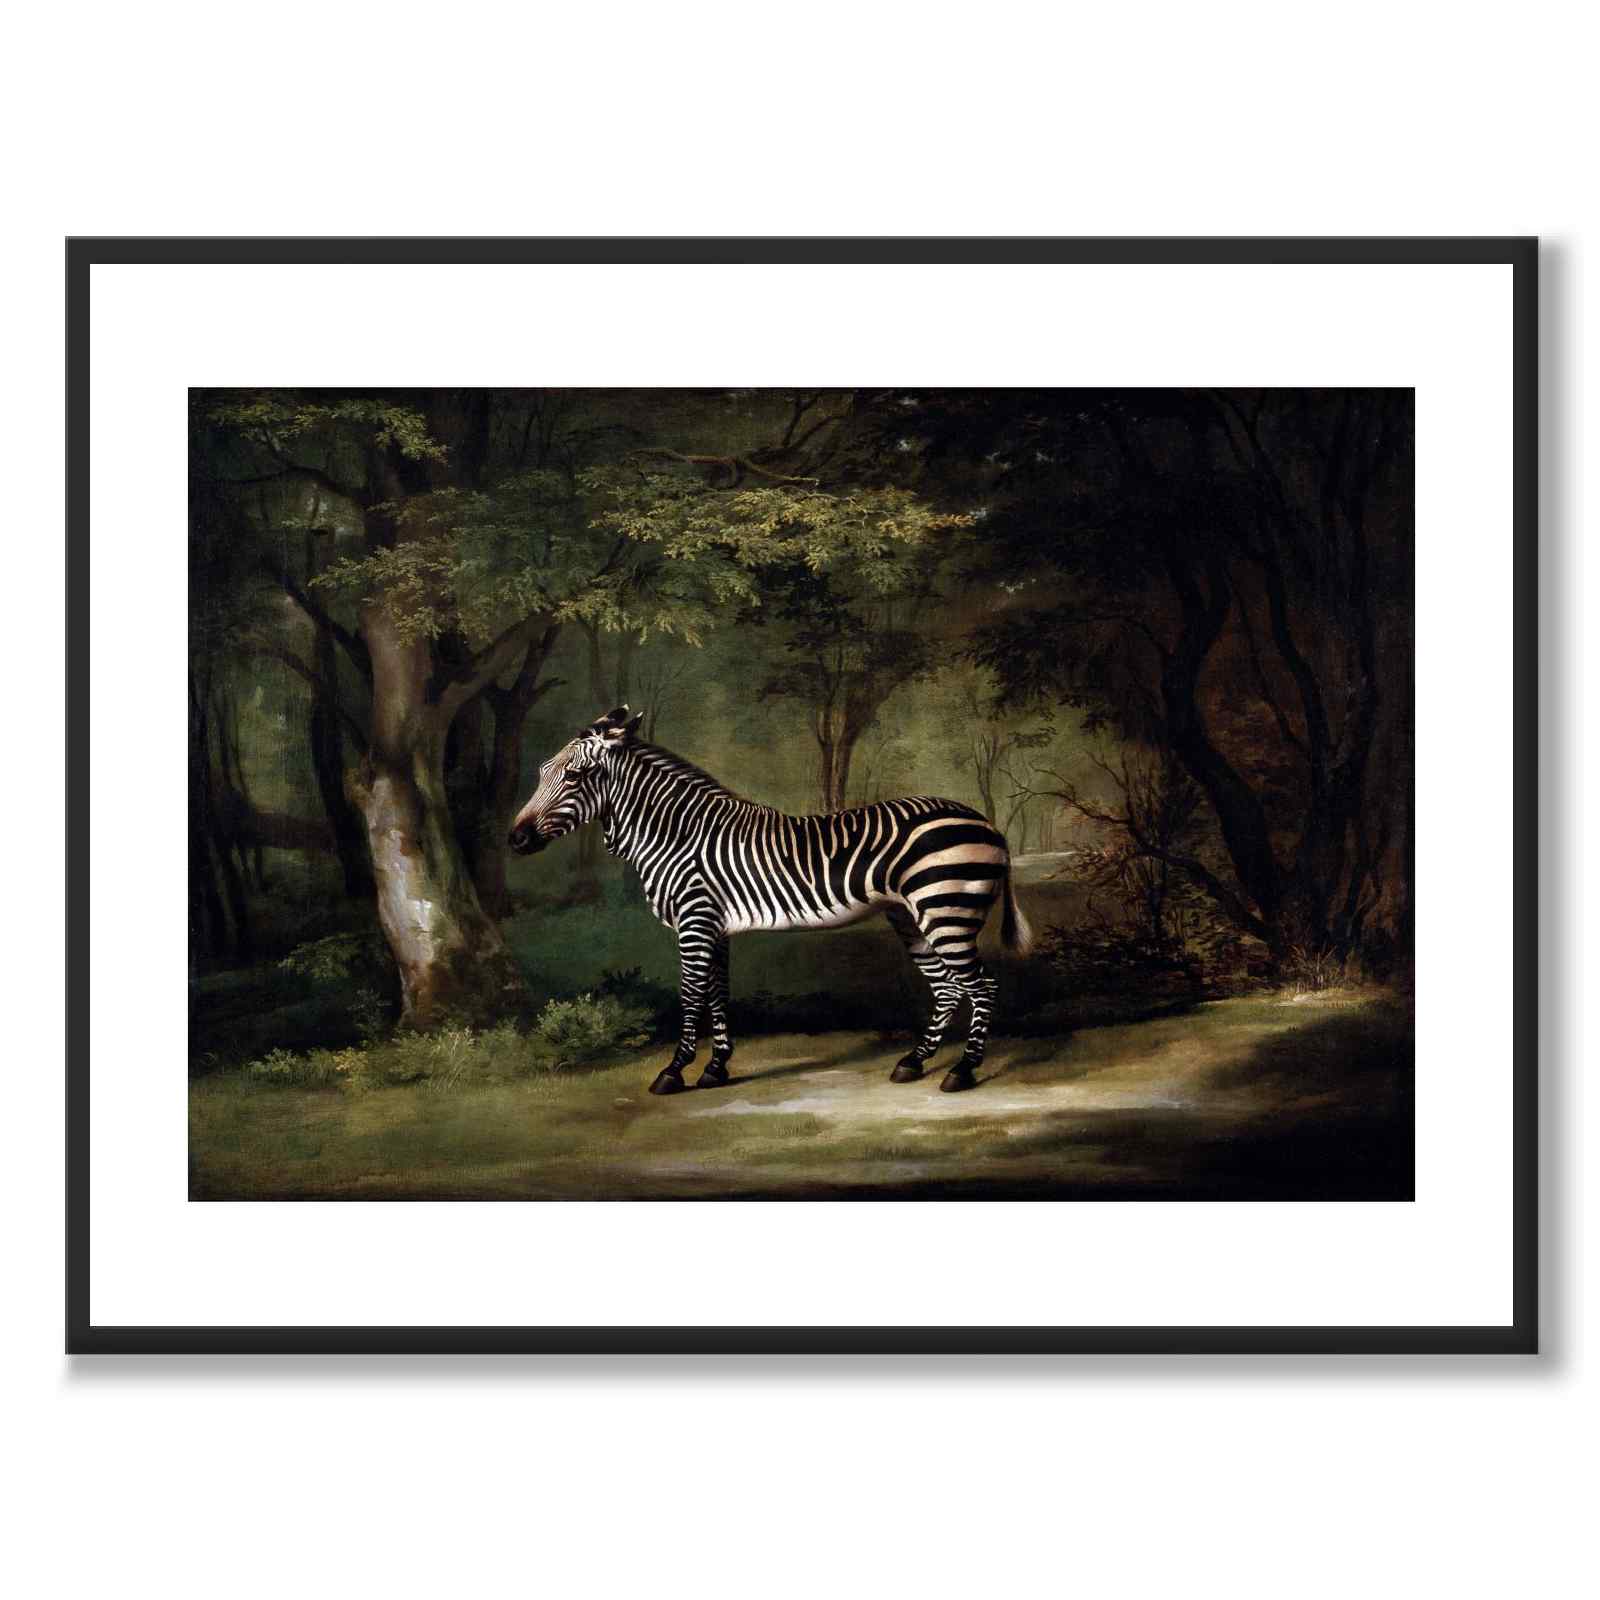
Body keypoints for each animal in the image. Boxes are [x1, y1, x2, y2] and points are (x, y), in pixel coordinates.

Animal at [508, 706, 1033, 1096]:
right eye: (542, 772)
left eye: (576, 776)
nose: (515, 839)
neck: (676, 834)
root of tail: (987, 823)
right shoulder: (714, 926)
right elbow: (717, 994)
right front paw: (715, 1069)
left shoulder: (694, 921)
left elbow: (691, 995)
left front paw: (673, 1071)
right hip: (911, 916)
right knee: (947, 989)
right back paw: (913, 1062)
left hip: (946, 910)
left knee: (982, 986)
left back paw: (962, 1071)